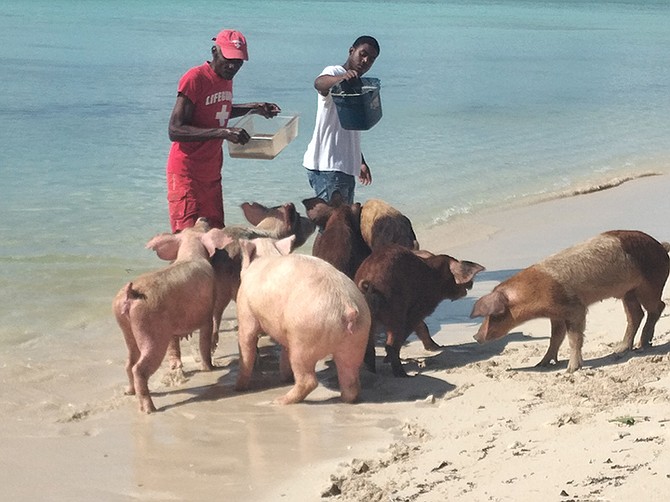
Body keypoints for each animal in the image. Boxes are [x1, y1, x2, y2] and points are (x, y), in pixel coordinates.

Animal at [113, 218, 234, 414]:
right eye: (203, 228)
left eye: (190, 227)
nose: (202, 218)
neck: (191, 253)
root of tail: (130, 293)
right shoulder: (206, 315)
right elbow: (204, 343)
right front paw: (210, 368)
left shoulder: (171, 327)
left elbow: (174, 343)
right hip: (150, 332)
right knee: (139, 368)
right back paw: (150, 409)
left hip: (125, 327)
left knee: (129, 362)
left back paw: (129, 392)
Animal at [235, 241, 372, 406]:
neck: (268, 253)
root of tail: (347, 307)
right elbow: (284, 349)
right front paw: (285, 378)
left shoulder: (245, 309)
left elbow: (246, 341)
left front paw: (238, 388)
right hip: (358, 337)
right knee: (351, 376)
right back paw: (344, 399)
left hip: (304, 339)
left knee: (308, 380)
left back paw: (279, 401)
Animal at [354, 243, 486, 376]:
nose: (471, 283)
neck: (434, 275)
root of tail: (371, 284)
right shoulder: (418, 310)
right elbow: (416, 329)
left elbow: (422, 327)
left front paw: (437, 347)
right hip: (396, 314)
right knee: (390, 345)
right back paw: (403, 375)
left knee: (368, 347)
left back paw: (372, 372)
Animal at [472, 231, 670, 372]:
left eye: (494, 315)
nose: (475, 336)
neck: (533, 292)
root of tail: (661, 246)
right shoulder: (556, 314)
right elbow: (555, 338)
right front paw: (541, 364)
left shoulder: (575, 309)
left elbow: (574, 338)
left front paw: (570, 370)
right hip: (628, 292)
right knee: (636, 315)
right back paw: (621, 349)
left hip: (650, 284)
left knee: (657, 307)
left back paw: (642, 346)